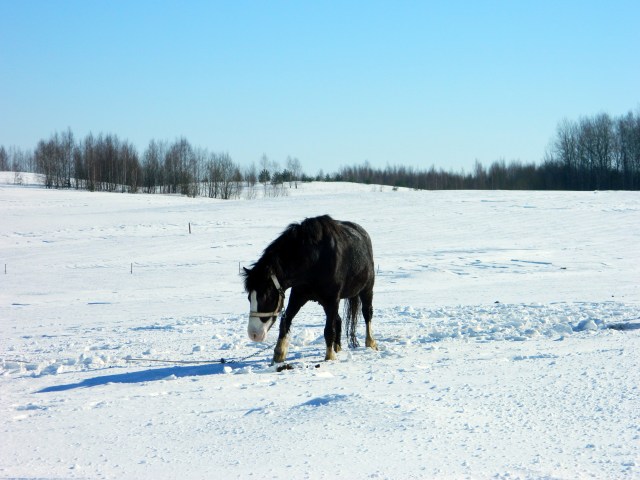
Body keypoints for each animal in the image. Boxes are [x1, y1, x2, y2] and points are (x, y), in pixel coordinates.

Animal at [242, 215, 377, 363]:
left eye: (267, 297)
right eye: (249, 297)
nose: (254, 334)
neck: (314, 260)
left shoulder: (332, 299)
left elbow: (328, 329)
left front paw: (329, 357)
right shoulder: (298, 295)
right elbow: (285, 321)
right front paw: (279, 354)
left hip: (366, 290)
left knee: (367, 313)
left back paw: (370, 343)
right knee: (338, 320)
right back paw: (337, 347)